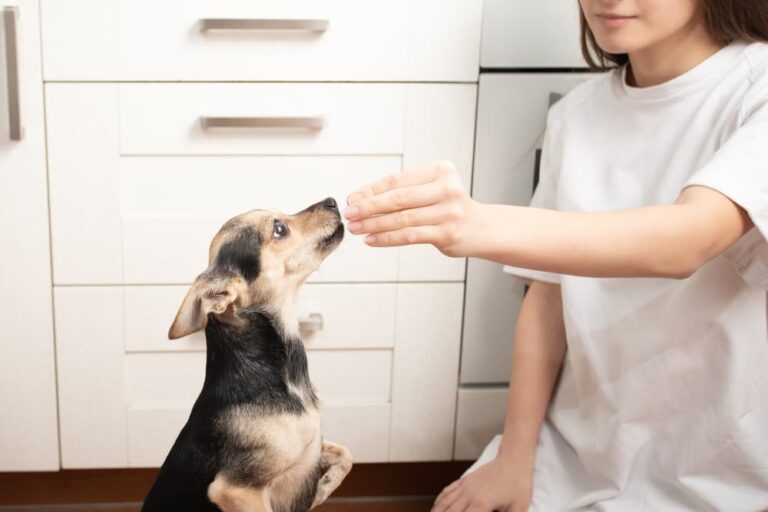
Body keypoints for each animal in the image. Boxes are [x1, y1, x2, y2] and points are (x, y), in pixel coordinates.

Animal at [141, 197, 352, 512]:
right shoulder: (234, 491)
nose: (332, 201)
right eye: (279, 228)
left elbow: (347, 454)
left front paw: (324, 486)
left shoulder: (315, 446)